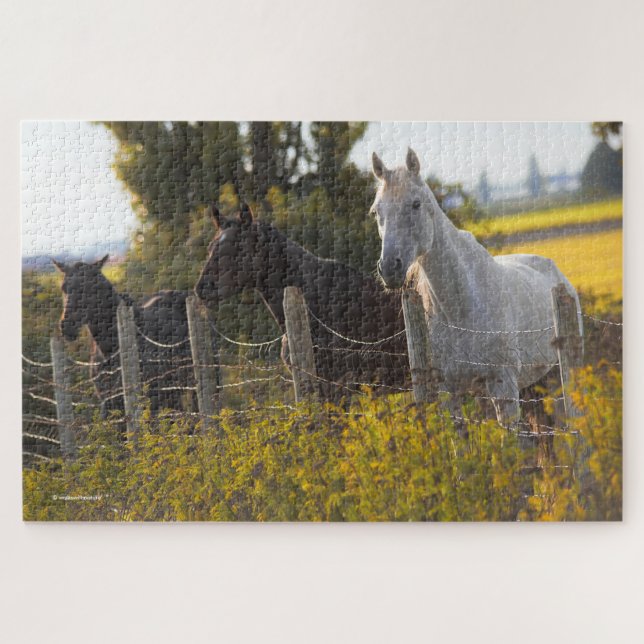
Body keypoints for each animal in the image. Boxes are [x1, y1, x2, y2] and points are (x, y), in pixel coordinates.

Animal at [369, 148, 583, 424]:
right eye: (376, 211)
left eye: (415, 204)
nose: (389, 268)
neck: (461, 306)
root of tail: (558, 275)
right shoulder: (449, 391)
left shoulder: (503, 387)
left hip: (559, 377)